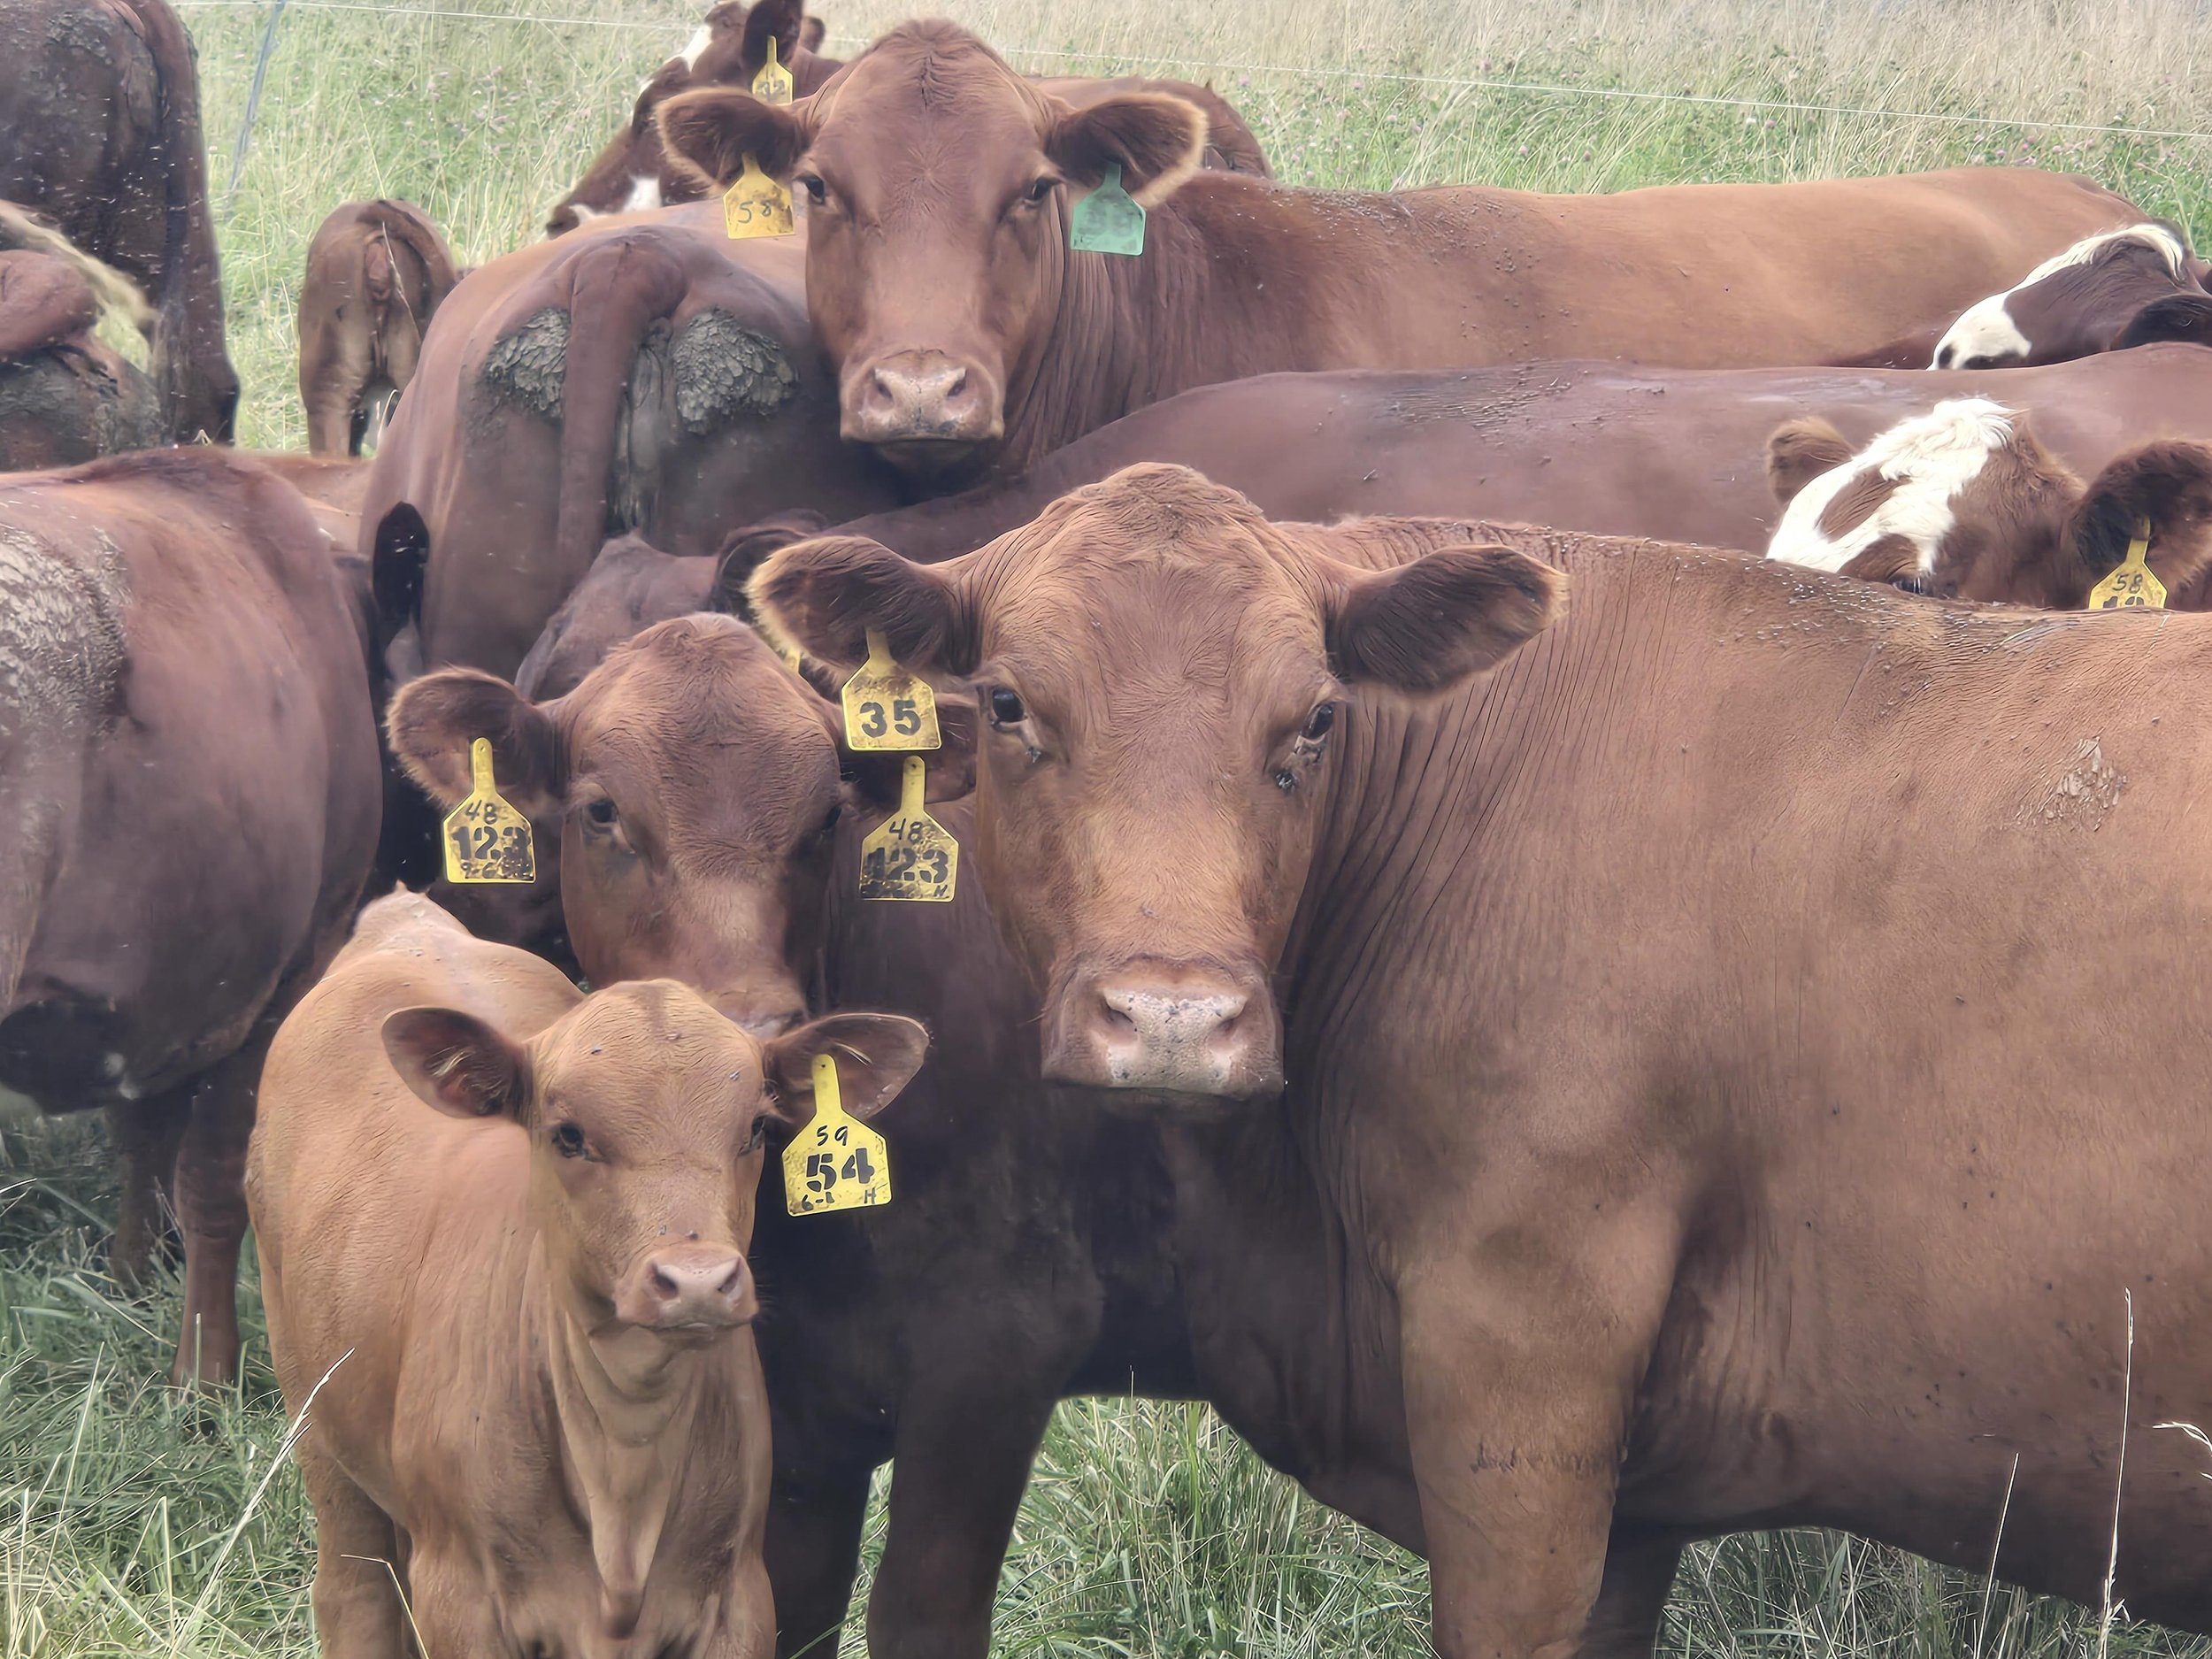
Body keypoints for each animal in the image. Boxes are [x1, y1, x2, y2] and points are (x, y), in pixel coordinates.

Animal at [0, 449, 382, 1384]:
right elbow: (214, 1180)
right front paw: (206, 1375)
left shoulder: (155, 999)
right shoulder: (284, 976)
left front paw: (132, 1278)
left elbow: (143, 1142)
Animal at [249, 889, 927, 1659]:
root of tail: (406, 917)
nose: (696, 1280)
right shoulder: (460, 1597)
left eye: (756, 1127)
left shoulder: (740, 1597)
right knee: (354, 1589)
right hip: (314, 1414)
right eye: (568, 1134)